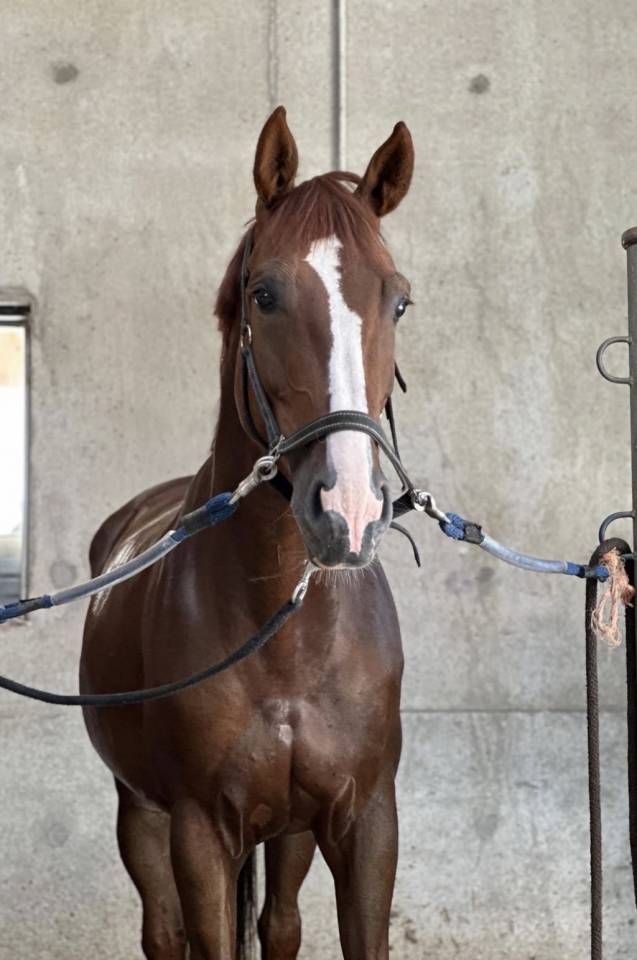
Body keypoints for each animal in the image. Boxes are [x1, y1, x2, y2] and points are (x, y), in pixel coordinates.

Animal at [80, 105, 415, 960]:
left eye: (398, 300)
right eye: (264, 295)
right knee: (164, 934)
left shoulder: (366, 824)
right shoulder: (199, 830)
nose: (347, 511)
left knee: (281, 925)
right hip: (141, 815)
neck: (287, 634)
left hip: (288, 832)